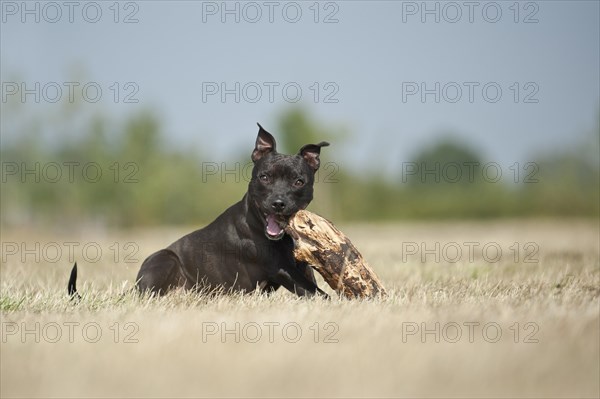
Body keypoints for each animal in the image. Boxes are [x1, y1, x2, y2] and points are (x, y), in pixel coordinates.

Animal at [69, 126, 328, 300]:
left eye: (298, 181)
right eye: (265, 177)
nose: (278, 203)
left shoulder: (300, 267)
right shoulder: (281, 269)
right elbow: (318, 293)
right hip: (165, 259)